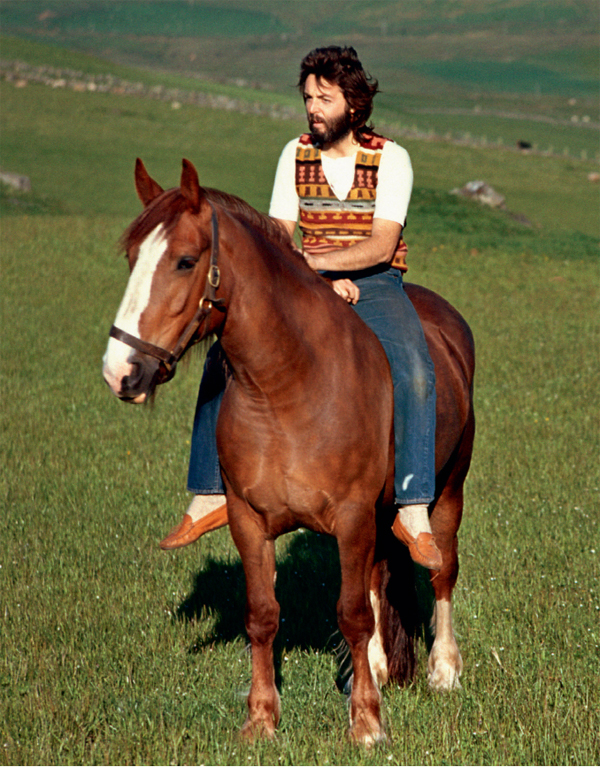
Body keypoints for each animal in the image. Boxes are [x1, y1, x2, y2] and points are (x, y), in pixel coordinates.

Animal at [104, 158, 478, 744]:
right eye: (131, 258)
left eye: (185, 261)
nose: (121, 370)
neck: (287, 388)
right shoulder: (249, 520)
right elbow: (263, 614)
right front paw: (261, 719)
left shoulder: (351, 517)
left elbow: (351, 613)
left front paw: (367, 724)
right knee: (379, 578)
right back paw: (375, 666)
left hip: (448, 490)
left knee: (441, 571)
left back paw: (443, 670)